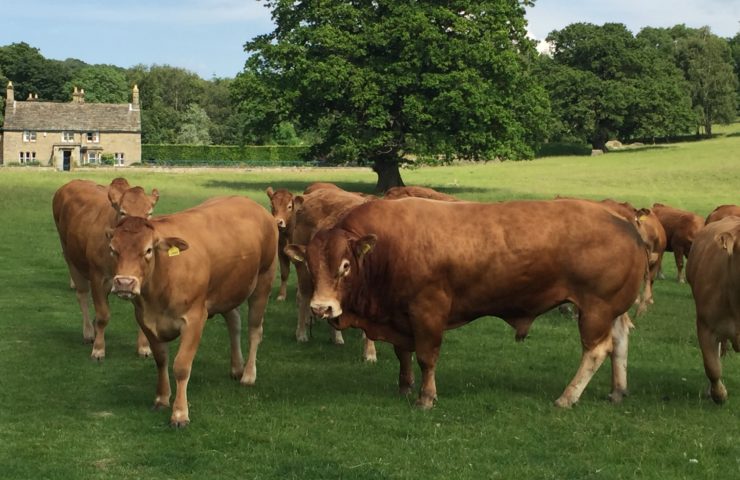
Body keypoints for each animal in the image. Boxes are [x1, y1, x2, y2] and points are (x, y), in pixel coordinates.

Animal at [52, 178, 159, 359]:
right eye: (123, 212)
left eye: (149, 213)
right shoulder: (97, 277)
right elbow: (103, 314)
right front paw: (98, 349)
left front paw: (144, 347)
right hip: (70, 256)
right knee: (82, 295)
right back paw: (89, 332)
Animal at [107, 196, 277, 426]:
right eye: (113, 249)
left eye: (148, 250)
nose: (124, 283)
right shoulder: (144, 320)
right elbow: (161, 360)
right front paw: (162, 398)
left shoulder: (195, 319)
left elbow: (181, 366)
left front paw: (180, 413)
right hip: (228, 290)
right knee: (234, 323)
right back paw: (236, 367)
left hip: (263, 281)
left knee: (254, 330)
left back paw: (248, 375)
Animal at [286, 198, 648, 409]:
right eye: (312, 267)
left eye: (345, 266)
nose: (321, 308)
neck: (389, 248)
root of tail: (623, 219)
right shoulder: (399, 314)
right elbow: (403, 353)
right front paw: (404, 387)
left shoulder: (427, 310)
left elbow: (426, 357)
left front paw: (426, 397)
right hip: (611, 308)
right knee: (620, 340)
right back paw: (618, 390)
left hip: (595, 308)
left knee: (597, 350)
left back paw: (567, 397)